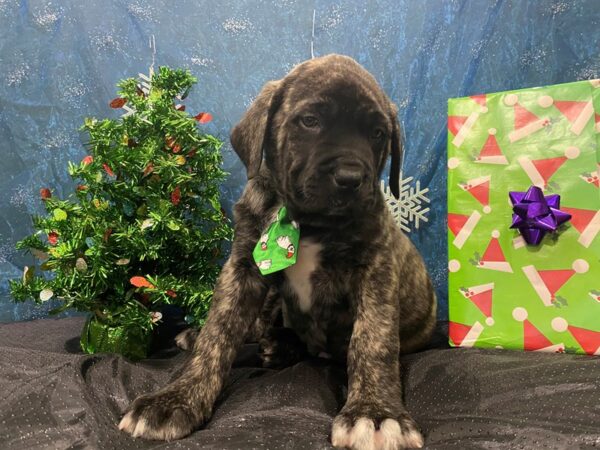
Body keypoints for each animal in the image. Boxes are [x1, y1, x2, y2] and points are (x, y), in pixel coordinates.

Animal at [118, 55, 436, 450]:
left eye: (378, 134)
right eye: (310, 121)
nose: (350, 178)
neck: (306, 220)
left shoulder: (376, 270)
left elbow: (373, 340)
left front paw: (375, 413)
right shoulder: (243, 267)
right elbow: (217, 334)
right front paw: (176, 399)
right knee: (253, 326)